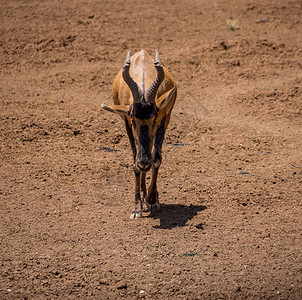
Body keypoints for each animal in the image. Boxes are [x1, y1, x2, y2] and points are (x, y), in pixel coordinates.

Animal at [101, 49, 177, 218]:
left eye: (153, 118)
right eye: (133, 119)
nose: (144, 163)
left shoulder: (164, 119)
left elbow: (156, 159)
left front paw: (152, 200)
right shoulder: (126, 122)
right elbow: (134, 161)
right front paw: (137, 208)